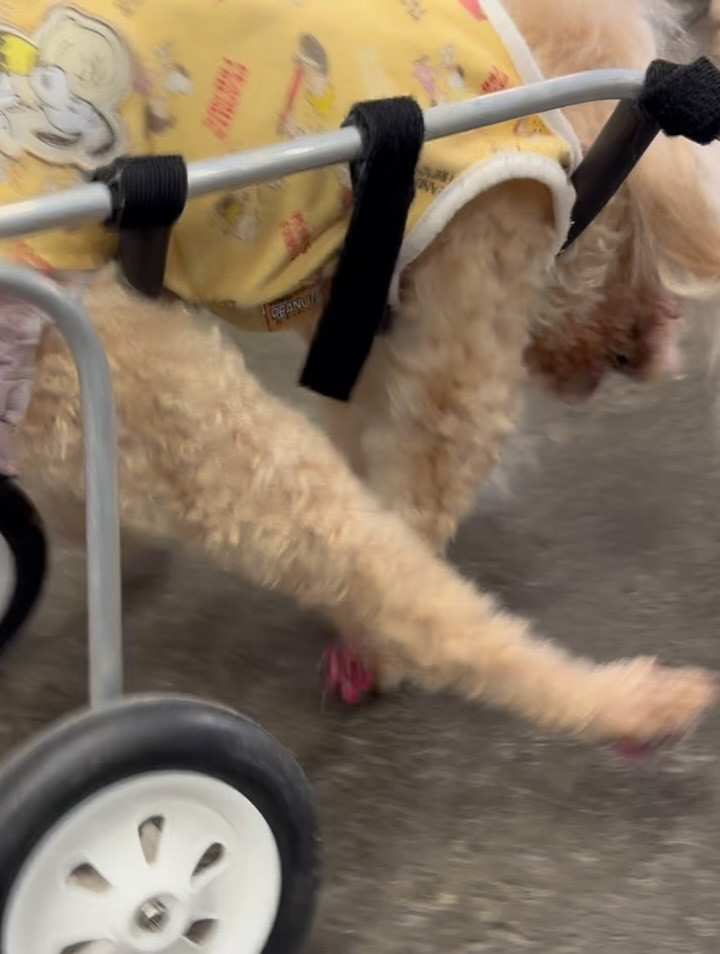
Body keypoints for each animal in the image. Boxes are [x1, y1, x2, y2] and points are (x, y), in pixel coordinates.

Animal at [1, 0, 719, 751]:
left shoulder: (356, 314)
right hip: (168, 401)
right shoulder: (480, 252)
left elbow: (371, 436)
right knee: (410, 602)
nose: (650, 359)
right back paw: (631, 702)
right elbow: (428, 476)